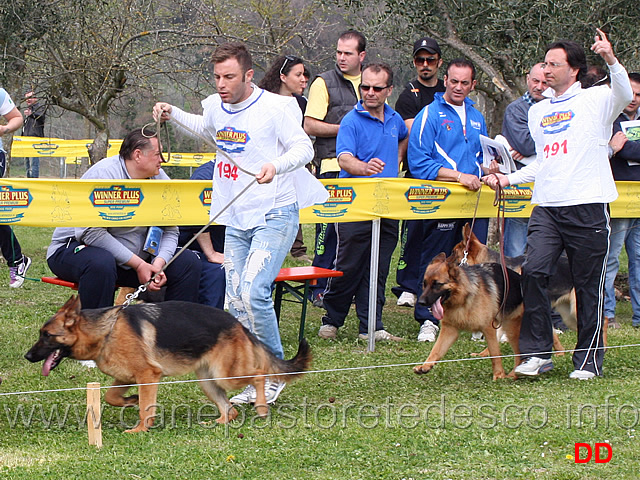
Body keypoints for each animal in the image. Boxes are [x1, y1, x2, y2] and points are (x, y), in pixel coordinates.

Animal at [26, 294, 312, 434]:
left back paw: (262, 406)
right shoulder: (126, 377)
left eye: (46, 335)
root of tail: (239, 325)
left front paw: (141, 428)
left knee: (260, 374)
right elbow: (110, 397)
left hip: (226, 375)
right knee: (229, 410)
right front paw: (130, 400)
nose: (27, 356)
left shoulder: (148, 375)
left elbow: (145, 408)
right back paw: (219, 422)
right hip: (207, 381)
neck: (106, 331)